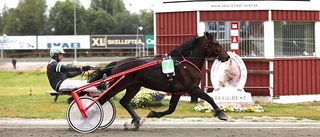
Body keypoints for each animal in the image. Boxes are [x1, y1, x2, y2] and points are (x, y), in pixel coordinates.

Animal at [89, 31, 230, 130]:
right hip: (119, 85)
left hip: (134, 86)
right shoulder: (192, 88)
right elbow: (209, 98)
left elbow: (171, 109)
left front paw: (153, 114)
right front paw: (221, 114)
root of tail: (118, 63)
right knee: (102, 99)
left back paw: (136, 120)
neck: (186, 62)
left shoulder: (177, 91)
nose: (227, 56)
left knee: (124, 101)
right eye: (216, 43)